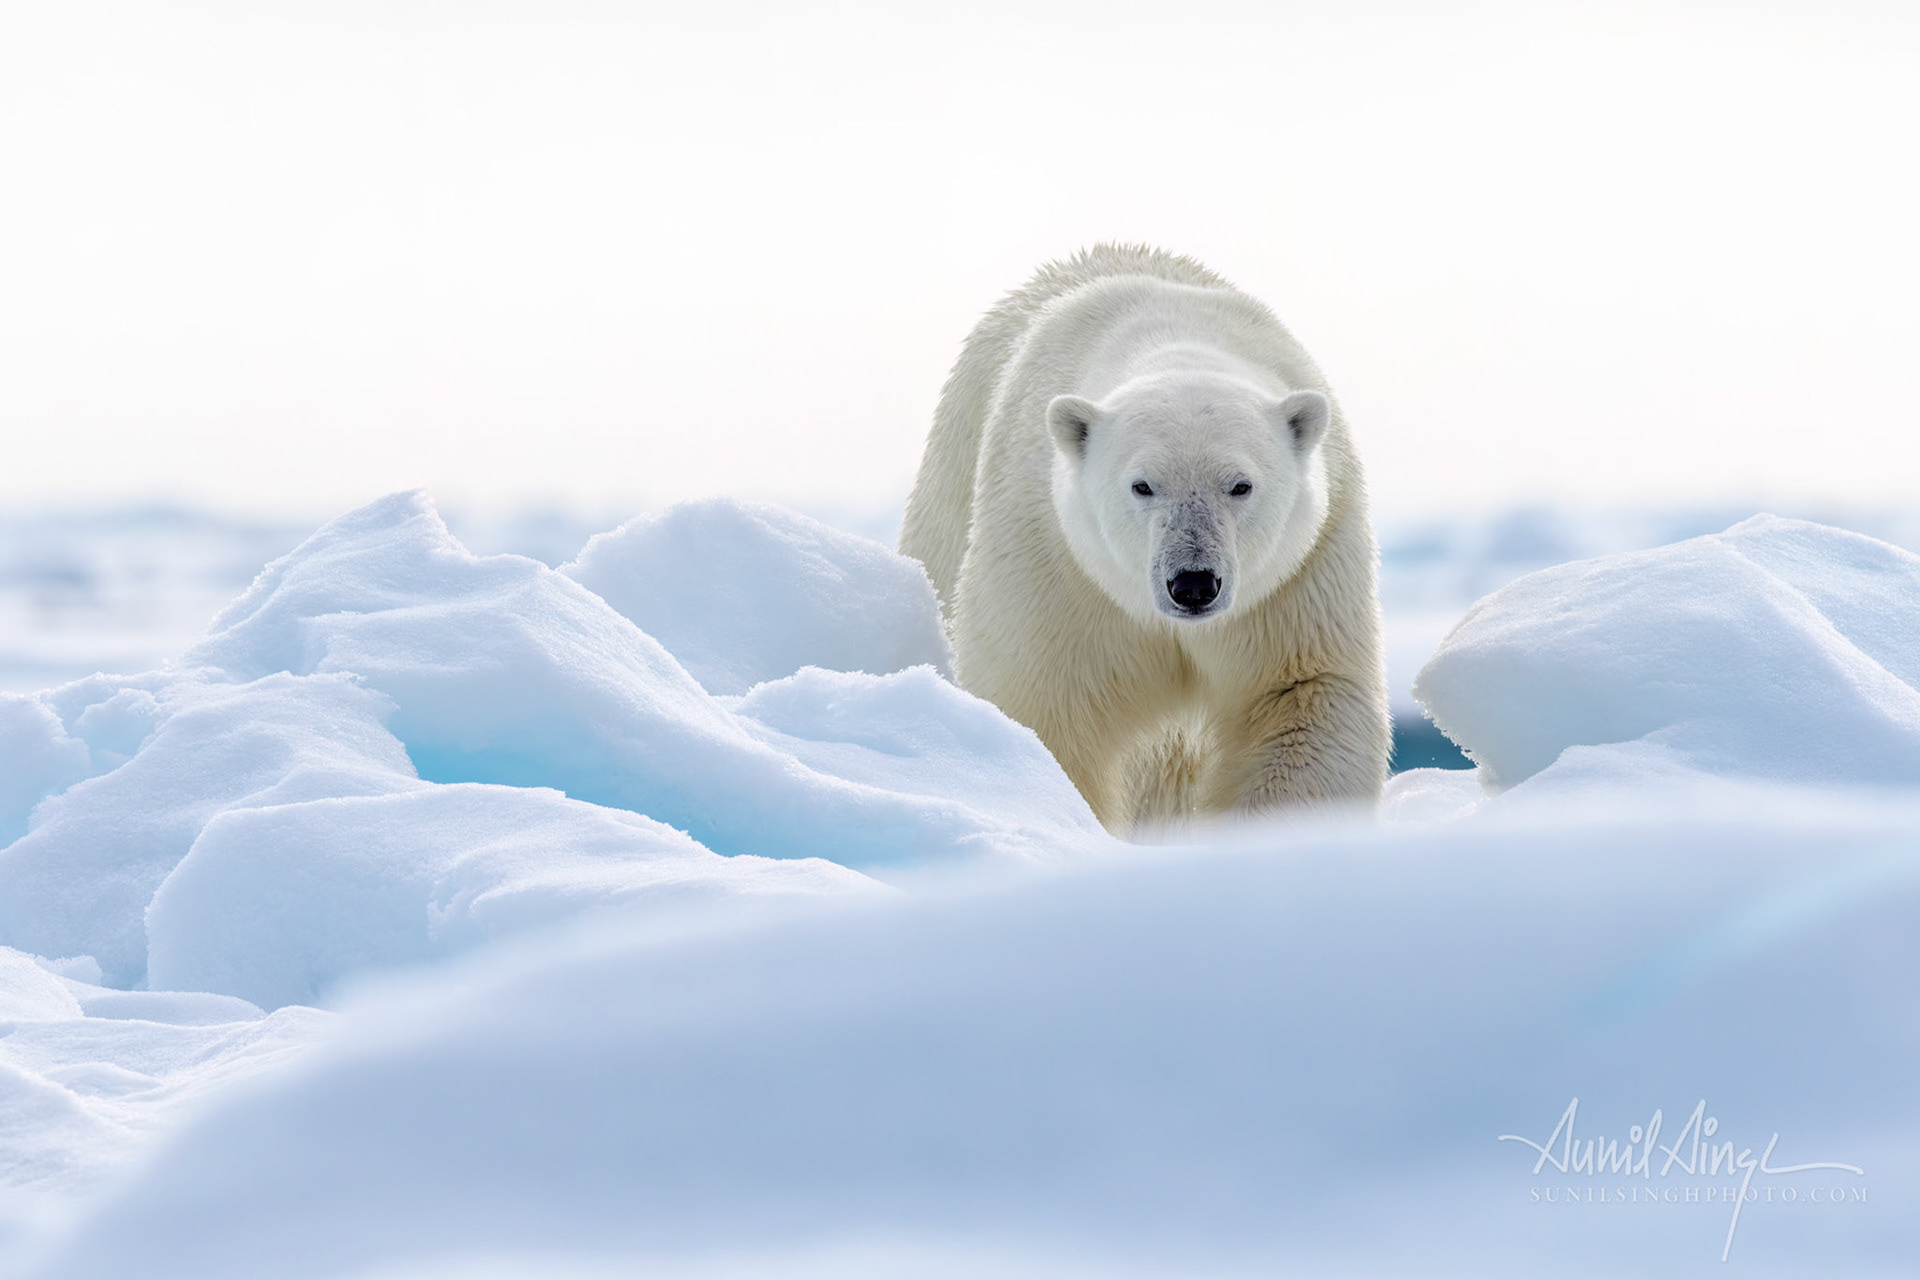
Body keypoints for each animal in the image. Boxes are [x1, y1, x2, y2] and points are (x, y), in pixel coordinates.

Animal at [900, 244, 1389, 835]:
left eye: (1240, 485)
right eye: (1142, 485)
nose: (1194, 583)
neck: (1177, 340)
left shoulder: (1299, 576)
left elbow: (1302, 694)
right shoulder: (1054, 563)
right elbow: (1041, 708)